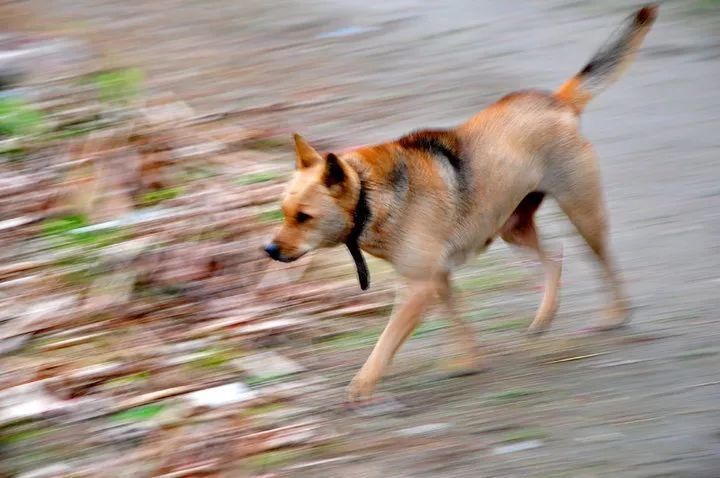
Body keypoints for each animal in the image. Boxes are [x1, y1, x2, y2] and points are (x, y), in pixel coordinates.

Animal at [264, 4, 660, 400]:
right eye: (284, 213)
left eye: (304, 217)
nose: (269, 250)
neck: (369, 194)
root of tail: (557, 102)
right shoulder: (437, 277)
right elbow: (456, 320)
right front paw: (467, 361)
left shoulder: (418, 287)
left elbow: (385, 343)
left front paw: (361, 387)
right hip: (512, 227)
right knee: (554, 262)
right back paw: (544, 317)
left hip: (583, 214)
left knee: (604, 262)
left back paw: (616, 314)